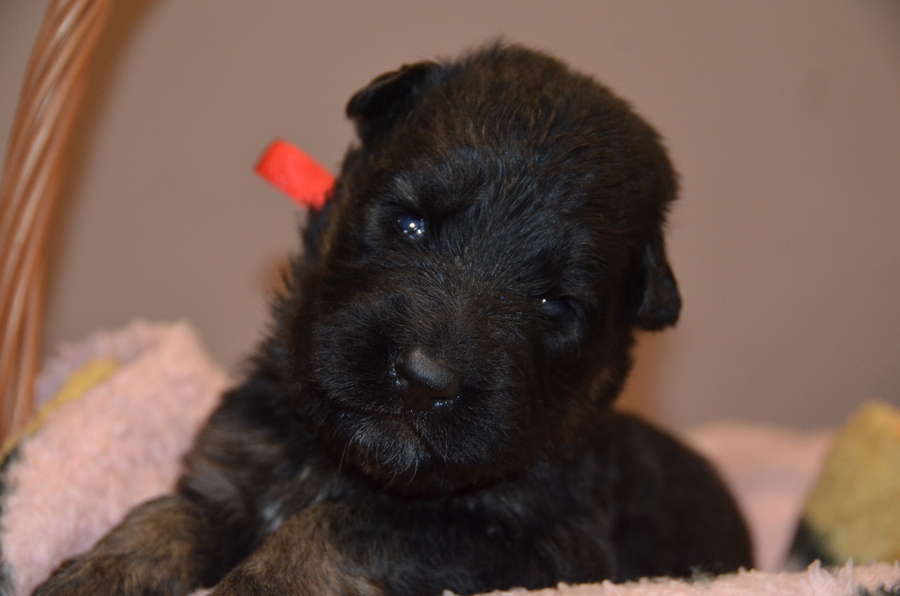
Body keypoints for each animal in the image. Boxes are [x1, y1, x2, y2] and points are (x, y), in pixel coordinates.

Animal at [35, 43, 752, 596]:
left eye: (557, 304)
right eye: (410, 222)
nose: (425, 381)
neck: (342, 461)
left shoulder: (535, 542)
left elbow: (345, 524)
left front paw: (262, 579)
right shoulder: (230, 473)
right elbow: (167, 513)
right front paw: (97, 572)